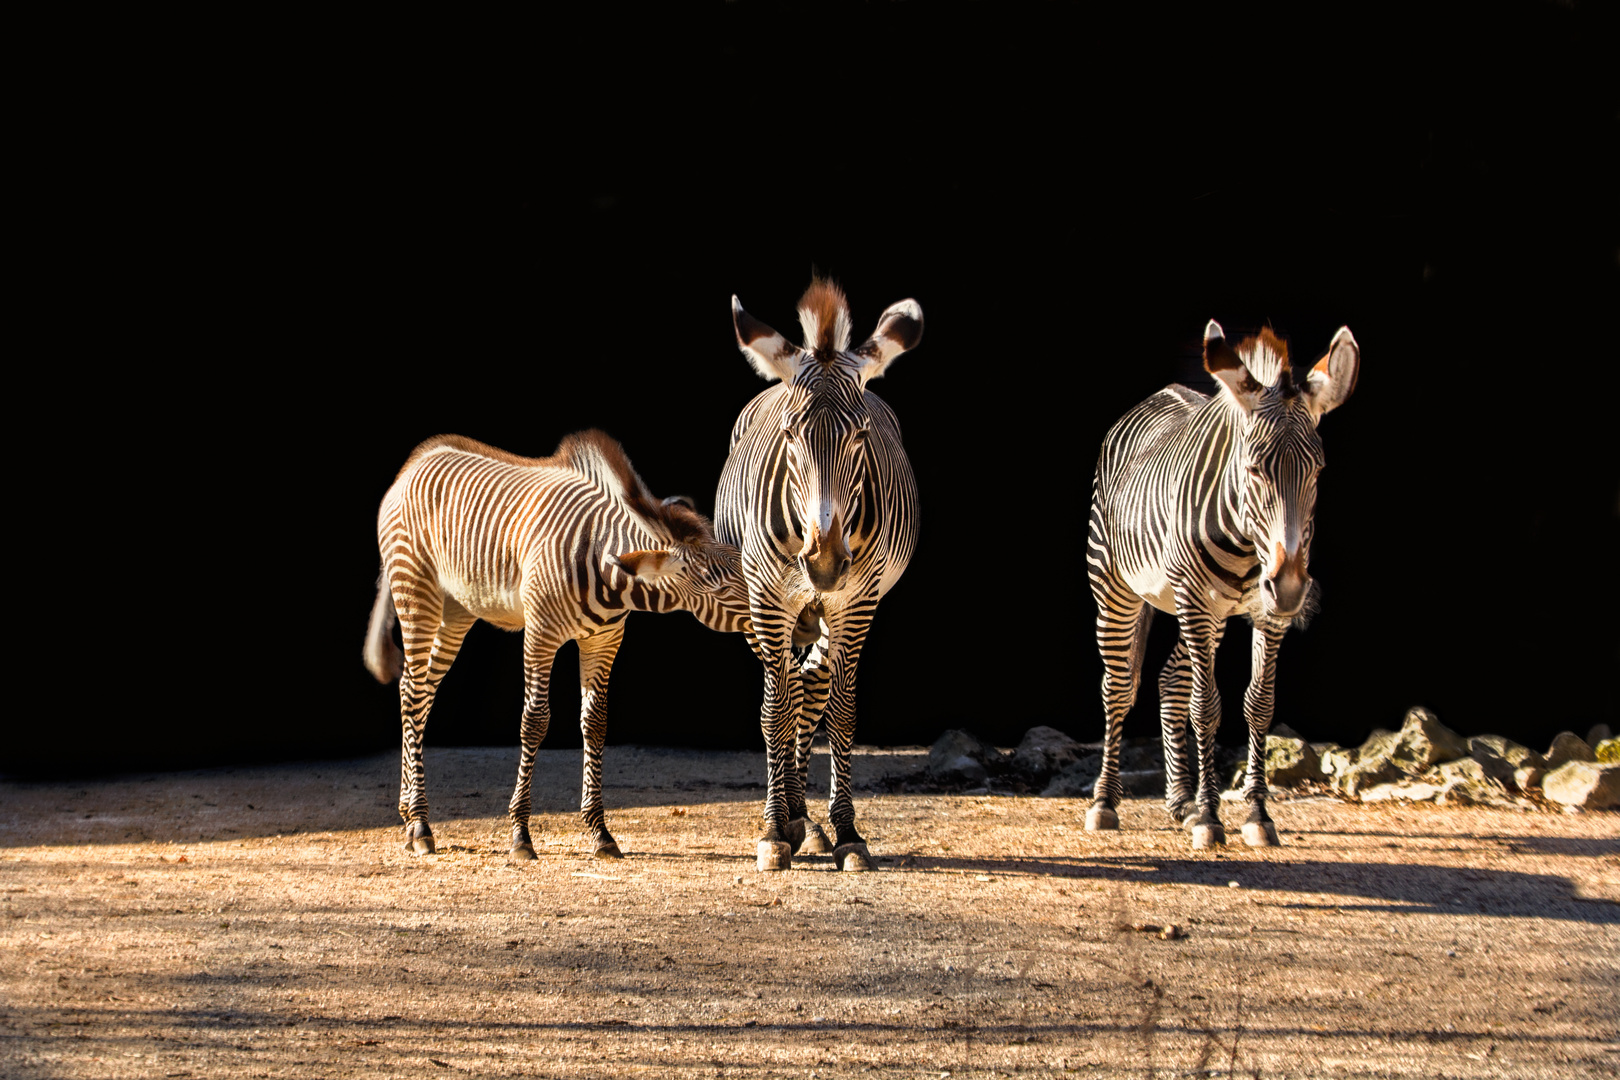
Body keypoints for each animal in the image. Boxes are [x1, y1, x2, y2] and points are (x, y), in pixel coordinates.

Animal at [361, 430, 751, 861]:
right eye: (721, 587)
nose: (779, 610)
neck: (604, 564)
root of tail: (415, 462)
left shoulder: (604, 640)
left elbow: (595, 723)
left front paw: (600, 832)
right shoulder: (540, 634)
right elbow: (534, 721)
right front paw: (520, 834)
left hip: (456, 609)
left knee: (417, 692)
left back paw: (408, 815)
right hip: (416, 591)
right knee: (414, 692)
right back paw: (420, 824)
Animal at [716, 283, 920, 874]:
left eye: (861, 435)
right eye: (790, 435)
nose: (825, 563)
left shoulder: (857, 601)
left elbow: (843, 713)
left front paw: (846, 831)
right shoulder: (766, 598)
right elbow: (774, 713)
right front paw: (770, 831)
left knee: (811, 685)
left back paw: (806, 821)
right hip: (761, 604)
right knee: (785, 691)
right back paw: (788, 817)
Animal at [1082, 320, 1360, 854]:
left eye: (1318, 471)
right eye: (1253, 468)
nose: (1290, 587)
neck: (1249, 544)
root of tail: (1160, 394)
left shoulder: (1265, 612)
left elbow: (1259, 704)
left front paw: (1256, 813)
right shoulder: (1195, 598)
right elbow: (1207, 706)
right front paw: (1212, 818)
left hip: (1210, 615)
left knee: (1171, 679)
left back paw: (1181, 802)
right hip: (1116, 587)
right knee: (1119, 687)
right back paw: (1106, 802)